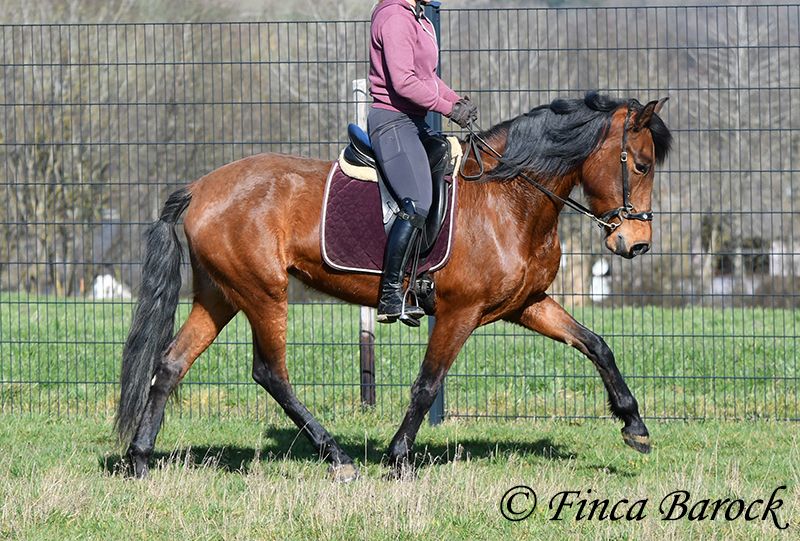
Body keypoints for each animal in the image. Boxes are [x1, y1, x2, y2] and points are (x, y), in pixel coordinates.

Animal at [115, 92, 672, 481]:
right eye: (641, 165)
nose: (636, 244)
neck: (507, 197)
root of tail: (199, 188)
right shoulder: (459, 312)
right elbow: (427, 385)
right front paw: (398, 457)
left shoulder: (526, 304)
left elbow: (596, 344)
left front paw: (634, 426)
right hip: (262, 294)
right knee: (271, 373)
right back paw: (338, 457)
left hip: (221, 295)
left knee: (171, 364)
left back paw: (141, 459)